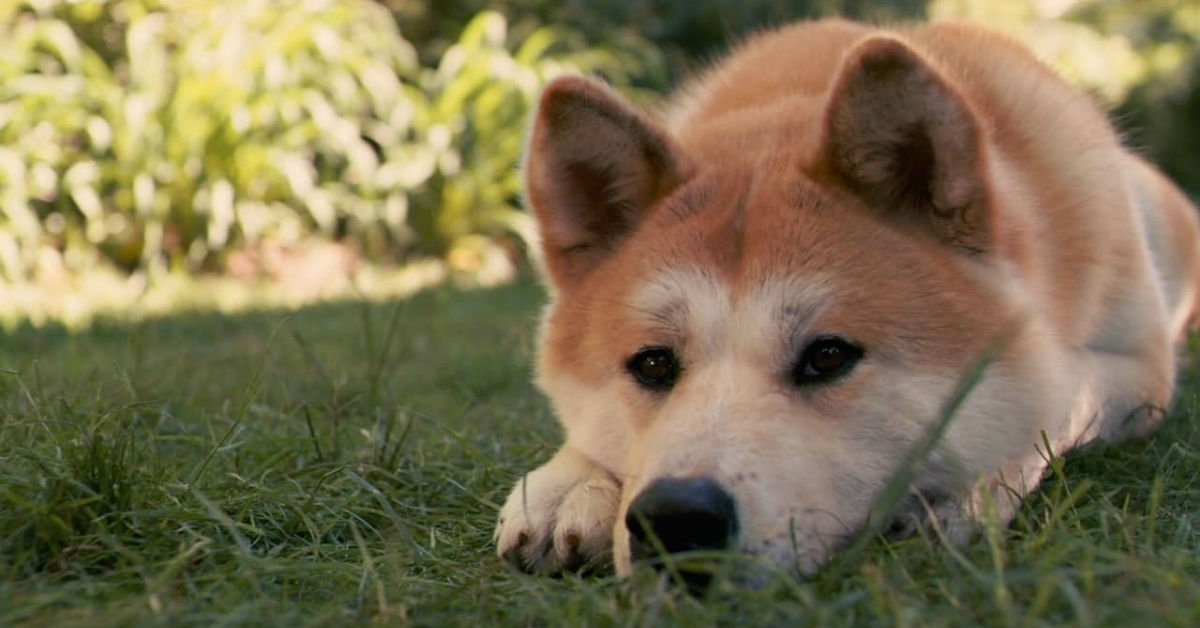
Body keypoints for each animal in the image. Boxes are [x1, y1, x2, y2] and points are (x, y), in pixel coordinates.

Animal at [489, 18, 1200, 585]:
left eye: (828, 356)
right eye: (654, 364)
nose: (675, 517)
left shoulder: (1137, 370)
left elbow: (1063, 395)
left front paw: (967, 491)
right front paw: (570, 482)